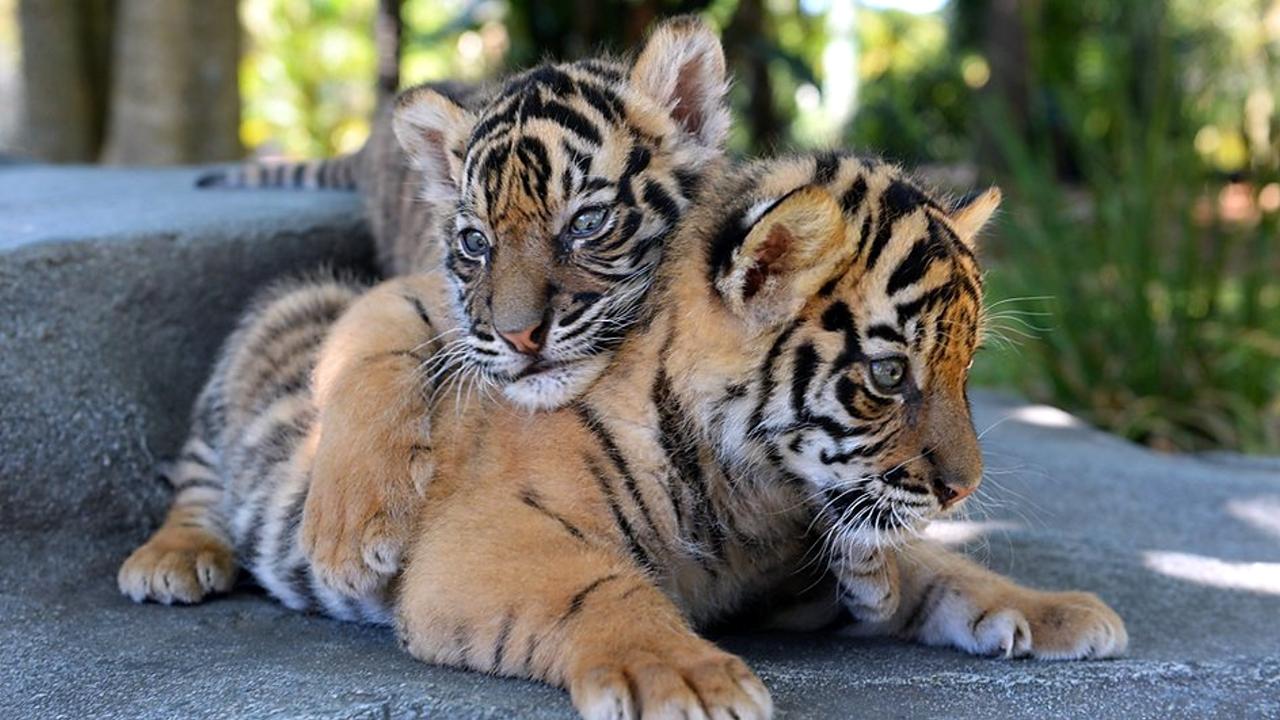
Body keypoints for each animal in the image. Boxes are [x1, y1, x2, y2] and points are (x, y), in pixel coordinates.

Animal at [120, 149, 1127, 719]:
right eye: (888, 376)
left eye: (965, 368)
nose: (964, 487)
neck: (754, 488)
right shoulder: (484, 541)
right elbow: (598, 588)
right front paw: (688, 677)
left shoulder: (795, 576)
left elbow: (945, 570)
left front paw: (1056, 610)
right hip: (249, 386)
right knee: (196, 479)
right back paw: (173, 562)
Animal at [156, 17, 736, 601]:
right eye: (476, 243)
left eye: (586, 222)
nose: (520, 336)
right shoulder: (419, 291)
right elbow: (367, 357)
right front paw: (346, 537)